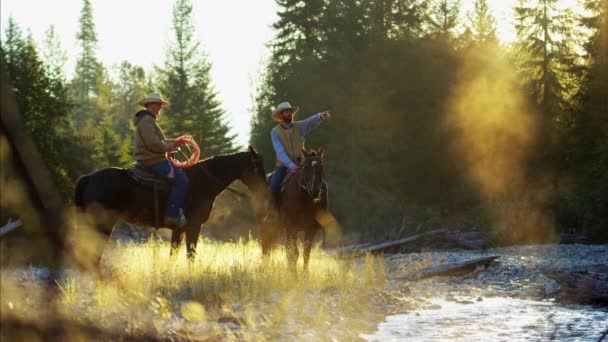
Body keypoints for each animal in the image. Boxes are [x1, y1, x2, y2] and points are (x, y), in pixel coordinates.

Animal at [72, 146, 264, 272]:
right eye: (256, 167)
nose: (264, 190)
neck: (202, 181)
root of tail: (88, 178)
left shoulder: (179, 229)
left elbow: (174, 255)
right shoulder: (194, 226)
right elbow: (190, 255)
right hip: (102, 226)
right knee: (93, 258)